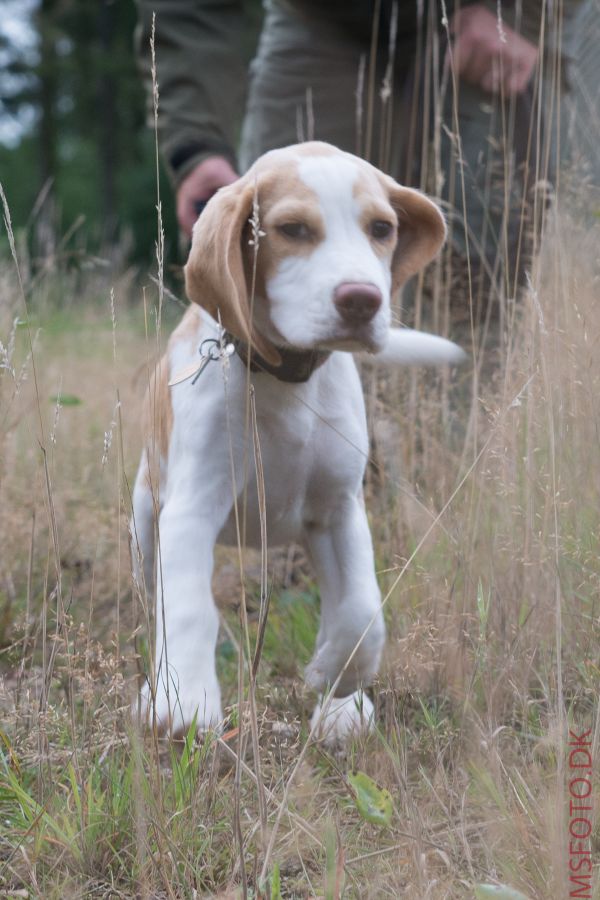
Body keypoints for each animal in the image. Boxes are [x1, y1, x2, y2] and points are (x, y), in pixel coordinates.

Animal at [131, 141, 464, 740]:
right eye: (291, 230)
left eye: (382, 228)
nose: (362, 299)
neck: (286, 380)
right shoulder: (190, 511)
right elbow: (189, 608)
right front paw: (187, 700)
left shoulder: (338, 511)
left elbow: (362, 610)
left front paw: (335, 680)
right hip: (146, 521)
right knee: (154, 604)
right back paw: (155, 692)